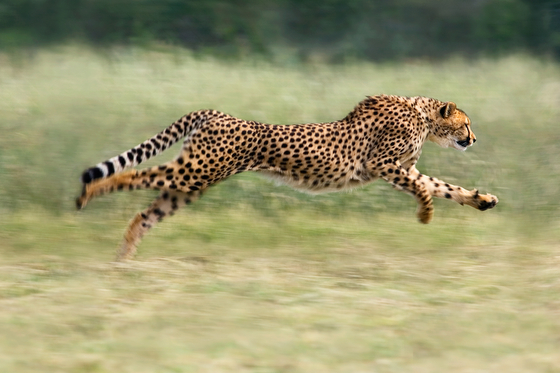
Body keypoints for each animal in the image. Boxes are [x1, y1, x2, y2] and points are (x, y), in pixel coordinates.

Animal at [75, 95, 498, 258]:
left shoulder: (403, 168)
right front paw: (425, 214)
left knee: (146, 214)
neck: (423, 115)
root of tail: (214, 112)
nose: (474, 139)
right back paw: (88, 192)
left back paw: (124, 257)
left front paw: (481, 199)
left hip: (192, 184)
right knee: (132, 174)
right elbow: (424, 190)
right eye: (466, 123)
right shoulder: (383, 165)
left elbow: (443, 187)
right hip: (195, 171)